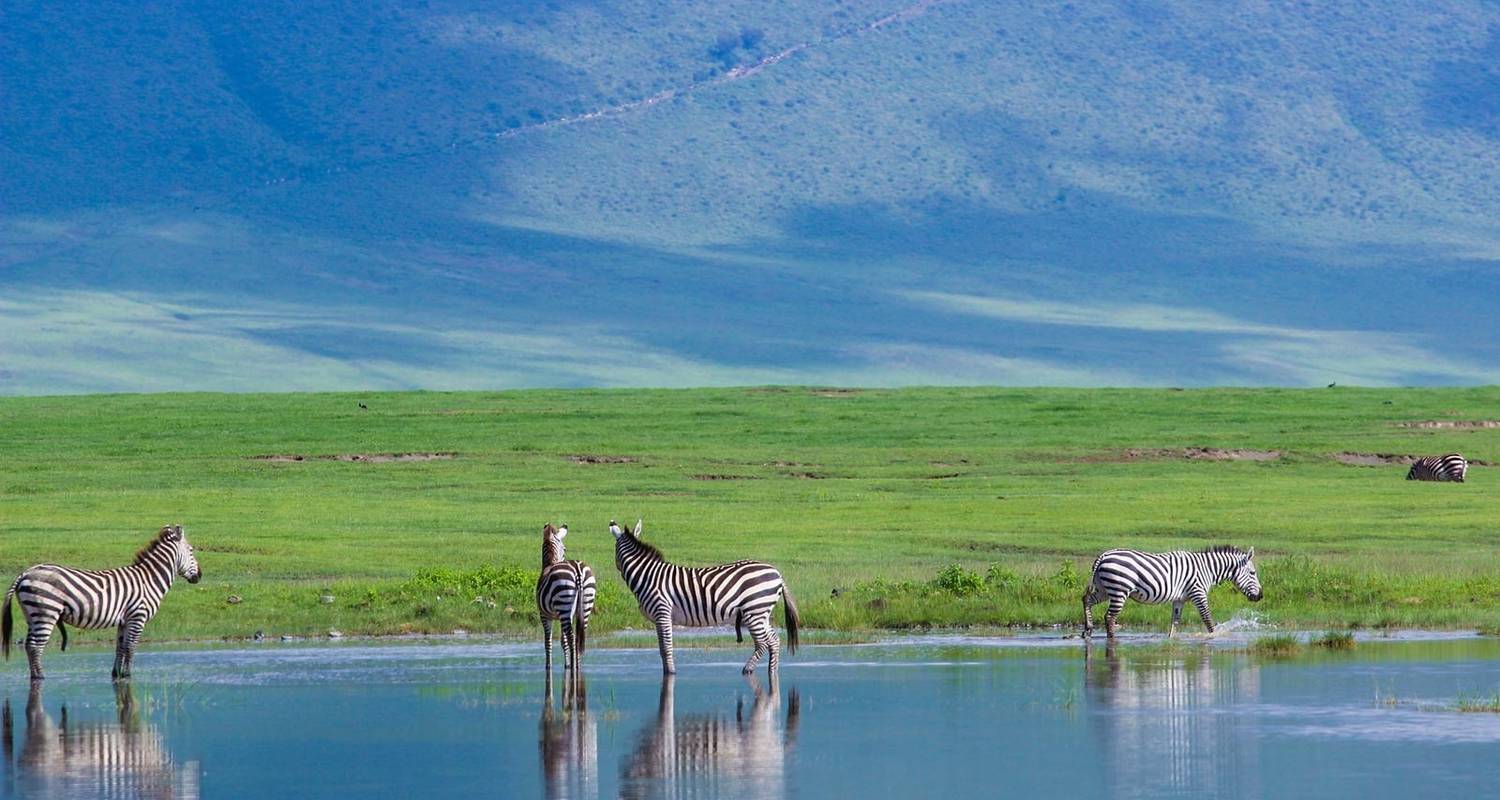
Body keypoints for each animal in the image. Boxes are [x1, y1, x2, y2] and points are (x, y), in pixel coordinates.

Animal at [1, 525, 201, 681]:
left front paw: (117, 674)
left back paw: (34, 675)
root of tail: (25, 573)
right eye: (191, 551)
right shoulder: (138, 616)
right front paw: (128, 675)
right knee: (35, 646)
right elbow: (131, 647)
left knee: (28, 645)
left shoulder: (124, 620)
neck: (148, 580)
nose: (200, 575)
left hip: (32, 614)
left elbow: (120, 647)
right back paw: (40, 677)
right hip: (46, 612)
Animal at [531, 525, 594, 666]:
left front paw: (549, 665)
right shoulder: (564, 616)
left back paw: (573, 666)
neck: (549, 563)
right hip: (585, 604)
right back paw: (577, 664)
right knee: (579, 636)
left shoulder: (544, 615)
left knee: (572, 637)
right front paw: (567, 663)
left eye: (564, 549)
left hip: (563, 603)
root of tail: (577, 570)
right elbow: (562, 641)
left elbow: (548, 642)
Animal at [609, 513, 798, 675]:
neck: (648, 575)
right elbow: (662, 648)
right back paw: (772, 672)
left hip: (754, 611)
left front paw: (671, 673)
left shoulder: (662, 612)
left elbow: (666, 647)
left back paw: (747, 670)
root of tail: (777, 573)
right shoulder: (659, 618)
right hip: (762, 612)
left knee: (763, 643)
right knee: (774, 640)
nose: (617, 567)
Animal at [1086, 543, 1260, 636]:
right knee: (1109, 617)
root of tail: (1104, 555)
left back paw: (1088, 629)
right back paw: (1112, 639)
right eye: (1253, 573)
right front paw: (1214, 637)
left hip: (1104, 589)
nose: (1260, 596)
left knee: (1087, 600)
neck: (1207, 569)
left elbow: (1174, 623)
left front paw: (1171, 641)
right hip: (1119, 590)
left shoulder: (1179, 599)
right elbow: (1207, 619)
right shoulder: (1198, 593)